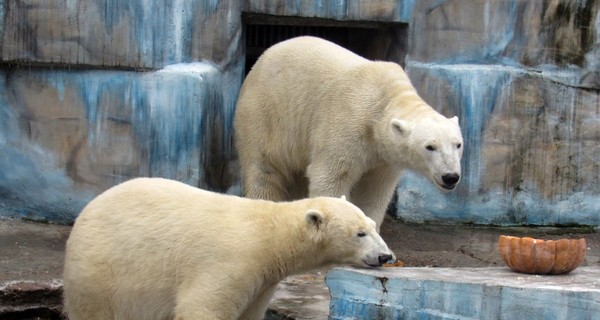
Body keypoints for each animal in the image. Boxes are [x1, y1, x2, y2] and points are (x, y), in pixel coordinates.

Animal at [62, 178, 394, 320]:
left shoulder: (262, 281)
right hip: (101, 273)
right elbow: (202, 307)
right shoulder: (230, 261)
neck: (268, 234)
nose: (385, 256)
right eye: (360, 233)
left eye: (373, 226)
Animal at [234, 35, 464, 230]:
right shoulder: (347, 123)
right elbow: (331, 177)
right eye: (430, 147)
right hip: (264, 115)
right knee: (264, 171)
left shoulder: (385, 157)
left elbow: (375, 190)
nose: (450, 177)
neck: (385, 100)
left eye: (458, 144)